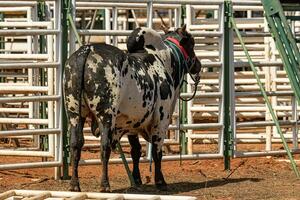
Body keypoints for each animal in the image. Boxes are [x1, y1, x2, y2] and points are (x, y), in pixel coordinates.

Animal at [64, 25, 202, 192]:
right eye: (191, 44)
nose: (198, 65)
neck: (163, 60)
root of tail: (87, 50)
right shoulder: (160, 120)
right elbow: (157, 152)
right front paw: (160, 181)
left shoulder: (131, 123)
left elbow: (135, 151)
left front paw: (136, 179)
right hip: (106, 116)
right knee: (104, 147)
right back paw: (105, 185)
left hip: (74, 114)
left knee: (76, 145)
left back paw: (74, 184)